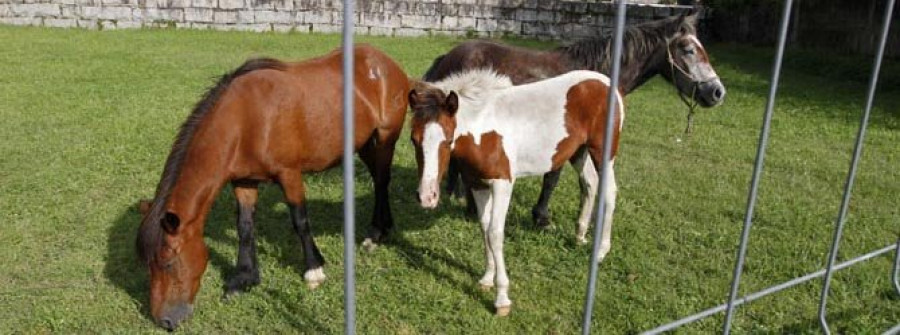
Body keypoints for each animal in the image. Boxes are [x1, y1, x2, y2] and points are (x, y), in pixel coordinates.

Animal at [137, 44, 412, 330]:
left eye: (168, 262)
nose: (165, 320)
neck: (246, 120)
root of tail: (385, 63)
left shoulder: (289, 174)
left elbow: (300, 220)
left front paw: (314, 269)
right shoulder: (244, 182)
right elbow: (245, 227)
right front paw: (244, 278)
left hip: (384, 139)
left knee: (382, 182)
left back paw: (375, 234)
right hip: (365, 143)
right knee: (379, 181)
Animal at [410, 69, 624, 318]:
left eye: (448, 139)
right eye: (413, 140)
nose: (427, 197)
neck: (482, 129)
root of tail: (607, 82)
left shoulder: (503, 184)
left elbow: (495, 233)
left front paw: (502, 299)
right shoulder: (478, 184)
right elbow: (484, 228)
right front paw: (486, 278)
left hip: (603, 153)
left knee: (609, 193)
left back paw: (601, 252)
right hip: (579, 151)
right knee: (589, 184)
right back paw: (580, 236)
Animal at [426, 12, 728, 228]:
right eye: (688, 50)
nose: (717, 92)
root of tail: (449, 55)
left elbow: (585, 183)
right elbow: (553, 179)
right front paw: (542, 218)